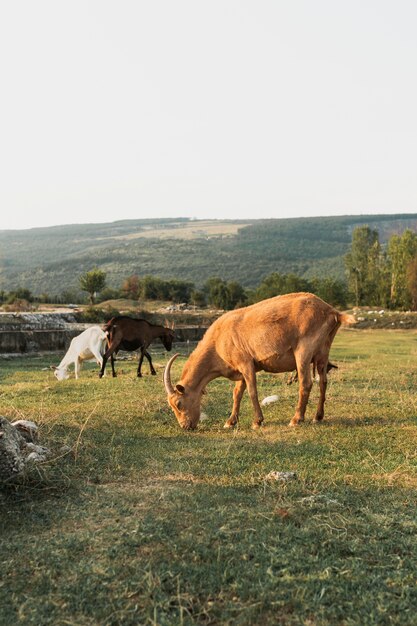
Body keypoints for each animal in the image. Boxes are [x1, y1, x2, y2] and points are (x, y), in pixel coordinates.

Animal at [164, 292, 352, 428]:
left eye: (179, 404)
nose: (185, 426)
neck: (217, 342)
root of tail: (332, 311)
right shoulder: (240, 369)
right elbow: (237, 393)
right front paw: (230, 422)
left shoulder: (245, 363)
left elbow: (252, 391)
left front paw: (257, 421)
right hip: (323, 351)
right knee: (323, 381)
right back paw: (318, 417)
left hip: (303, 350)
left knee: (306, 383)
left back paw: (296, 419)